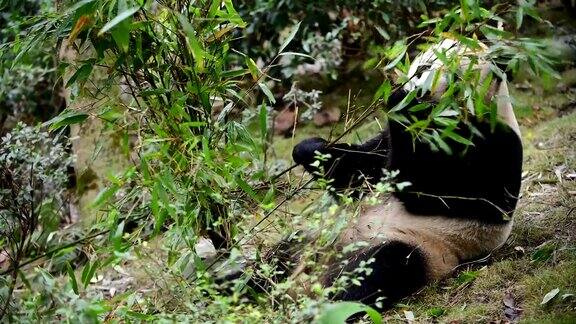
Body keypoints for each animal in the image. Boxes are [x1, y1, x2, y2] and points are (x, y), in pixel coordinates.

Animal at [266, 38, 520, 306]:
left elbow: (433, 192)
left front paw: (401, 101)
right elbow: (360, 171)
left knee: (385, 265)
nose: (420, 90)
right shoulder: (387, 143)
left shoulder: (489, 142)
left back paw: (325, 297)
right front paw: (311, 149)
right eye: (424, 65)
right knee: (282, 253)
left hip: (427, 247)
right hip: (315, 236)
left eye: (453, 75)